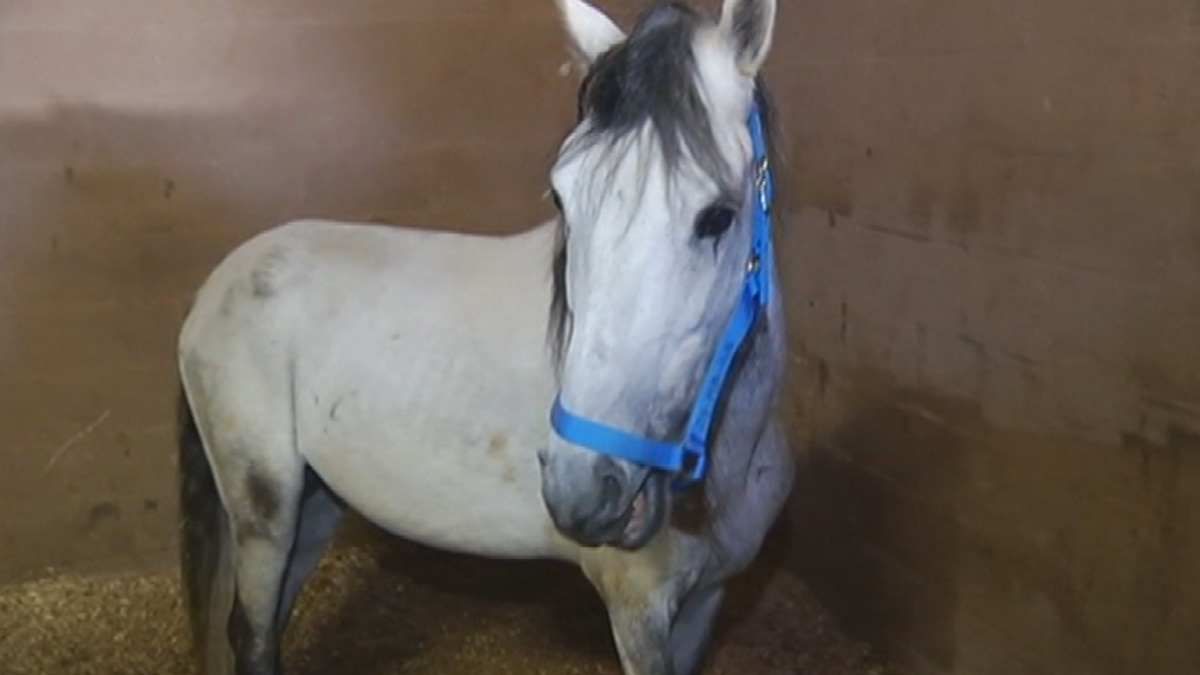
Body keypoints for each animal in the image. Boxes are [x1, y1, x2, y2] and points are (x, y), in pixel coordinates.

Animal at [176, 0, 794, 673]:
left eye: (718, 216)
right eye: (563, 200)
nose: (582, 488)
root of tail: (215, 286)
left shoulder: (706, 601)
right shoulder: (638, 616)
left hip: (314, 504)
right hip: (265, 508)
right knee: (253, 634)